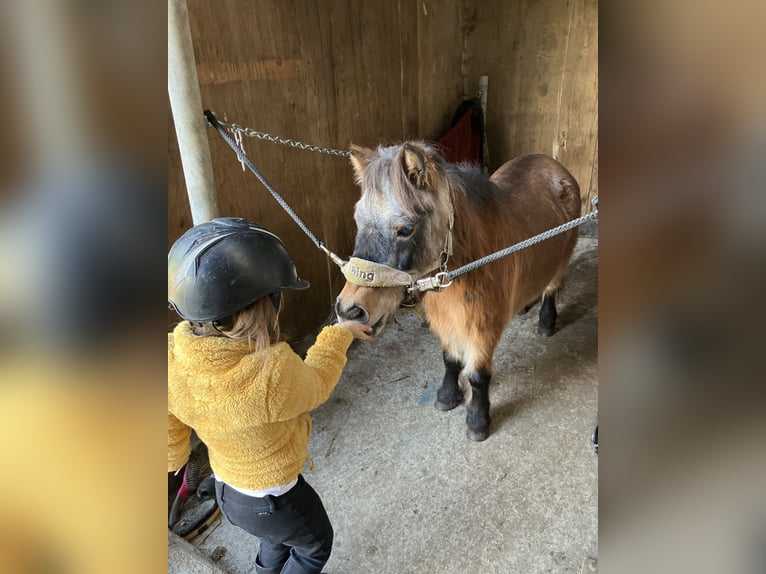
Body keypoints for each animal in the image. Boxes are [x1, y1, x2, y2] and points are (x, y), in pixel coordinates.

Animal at [338, 143, 584, 440]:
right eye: (358, 220)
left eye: (406, 229)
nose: (349, 309)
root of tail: (554, 166)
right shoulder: (447, 322)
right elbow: (450, 361)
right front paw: (446, 397)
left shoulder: (482, 329)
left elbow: (478, 376)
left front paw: (478, 420)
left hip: (563, 257)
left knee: (551, 287)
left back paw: (546, 322)